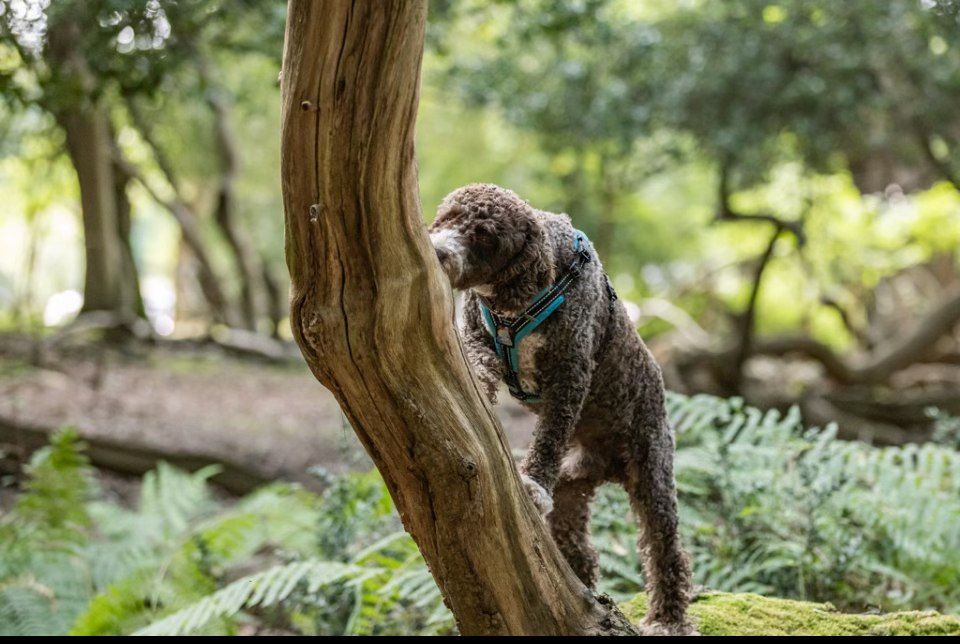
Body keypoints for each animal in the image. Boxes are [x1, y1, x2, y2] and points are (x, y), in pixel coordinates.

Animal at [432, 184, 692, 636]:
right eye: (446, 218)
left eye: (485, 237)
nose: (439, 252)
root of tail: (604, 464)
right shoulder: (478, 338)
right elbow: (478, 367)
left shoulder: (569, 374)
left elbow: (549, 437)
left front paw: (534, 482)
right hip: (573, 487)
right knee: (579, 544)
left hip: (652, 473)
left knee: (665, 549)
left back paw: (667, 619)